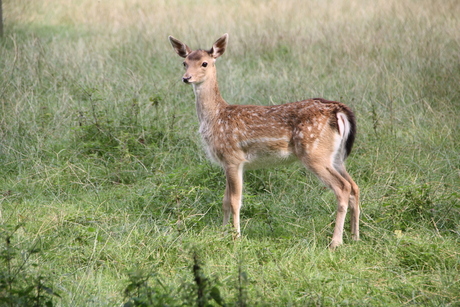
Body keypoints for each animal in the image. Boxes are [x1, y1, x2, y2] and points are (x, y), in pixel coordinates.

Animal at [169, 33, 360, 249]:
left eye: (204, 63)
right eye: (184, 62)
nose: (186, 78)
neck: (216, 117)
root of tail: (338, 111)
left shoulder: (233, 157)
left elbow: (235, 200)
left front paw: (236, 236)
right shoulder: (226, 162)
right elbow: (225, 200)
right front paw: (223, 233)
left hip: (314, 153)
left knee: (342, 188)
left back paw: (336, 242)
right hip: (336, 156)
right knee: (354, 186)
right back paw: (355, 236)